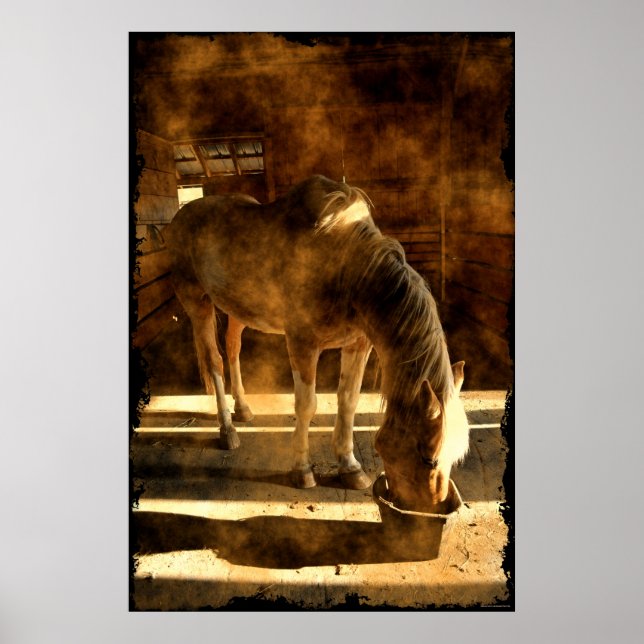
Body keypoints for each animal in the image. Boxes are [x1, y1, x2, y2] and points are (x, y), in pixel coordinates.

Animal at [164, 175, 469, 512]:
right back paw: (227, 429)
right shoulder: (302, 344)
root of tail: (181, 216)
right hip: (198, 303)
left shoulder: (358, 345)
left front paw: (350, 467)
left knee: (233, 350)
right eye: (428, 458)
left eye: (457, 456)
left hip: (237, 309)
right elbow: (307, 405)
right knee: (214, 360)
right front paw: (302, 470)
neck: (344, 264)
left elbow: (348, 402)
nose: (432, 509)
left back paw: (242, 410)